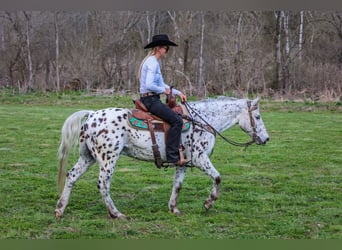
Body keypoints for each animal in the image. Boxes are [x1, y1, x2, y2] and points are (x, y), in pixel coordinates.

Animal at [54, 95, 270, 219]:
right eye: (257, 117)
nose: (266, 138)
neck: (203, 121)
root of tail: (91, 115)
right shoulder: (200, 159)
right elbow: (217, 178)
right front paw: (208, 203)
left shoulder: (183, 163)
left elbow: (178, 185)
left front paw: (173, 208)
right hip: (108, 159)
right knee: (103, 184)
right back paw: (116, 213)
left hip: (87, 157)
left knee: (71, 176)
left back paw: (60, 209)